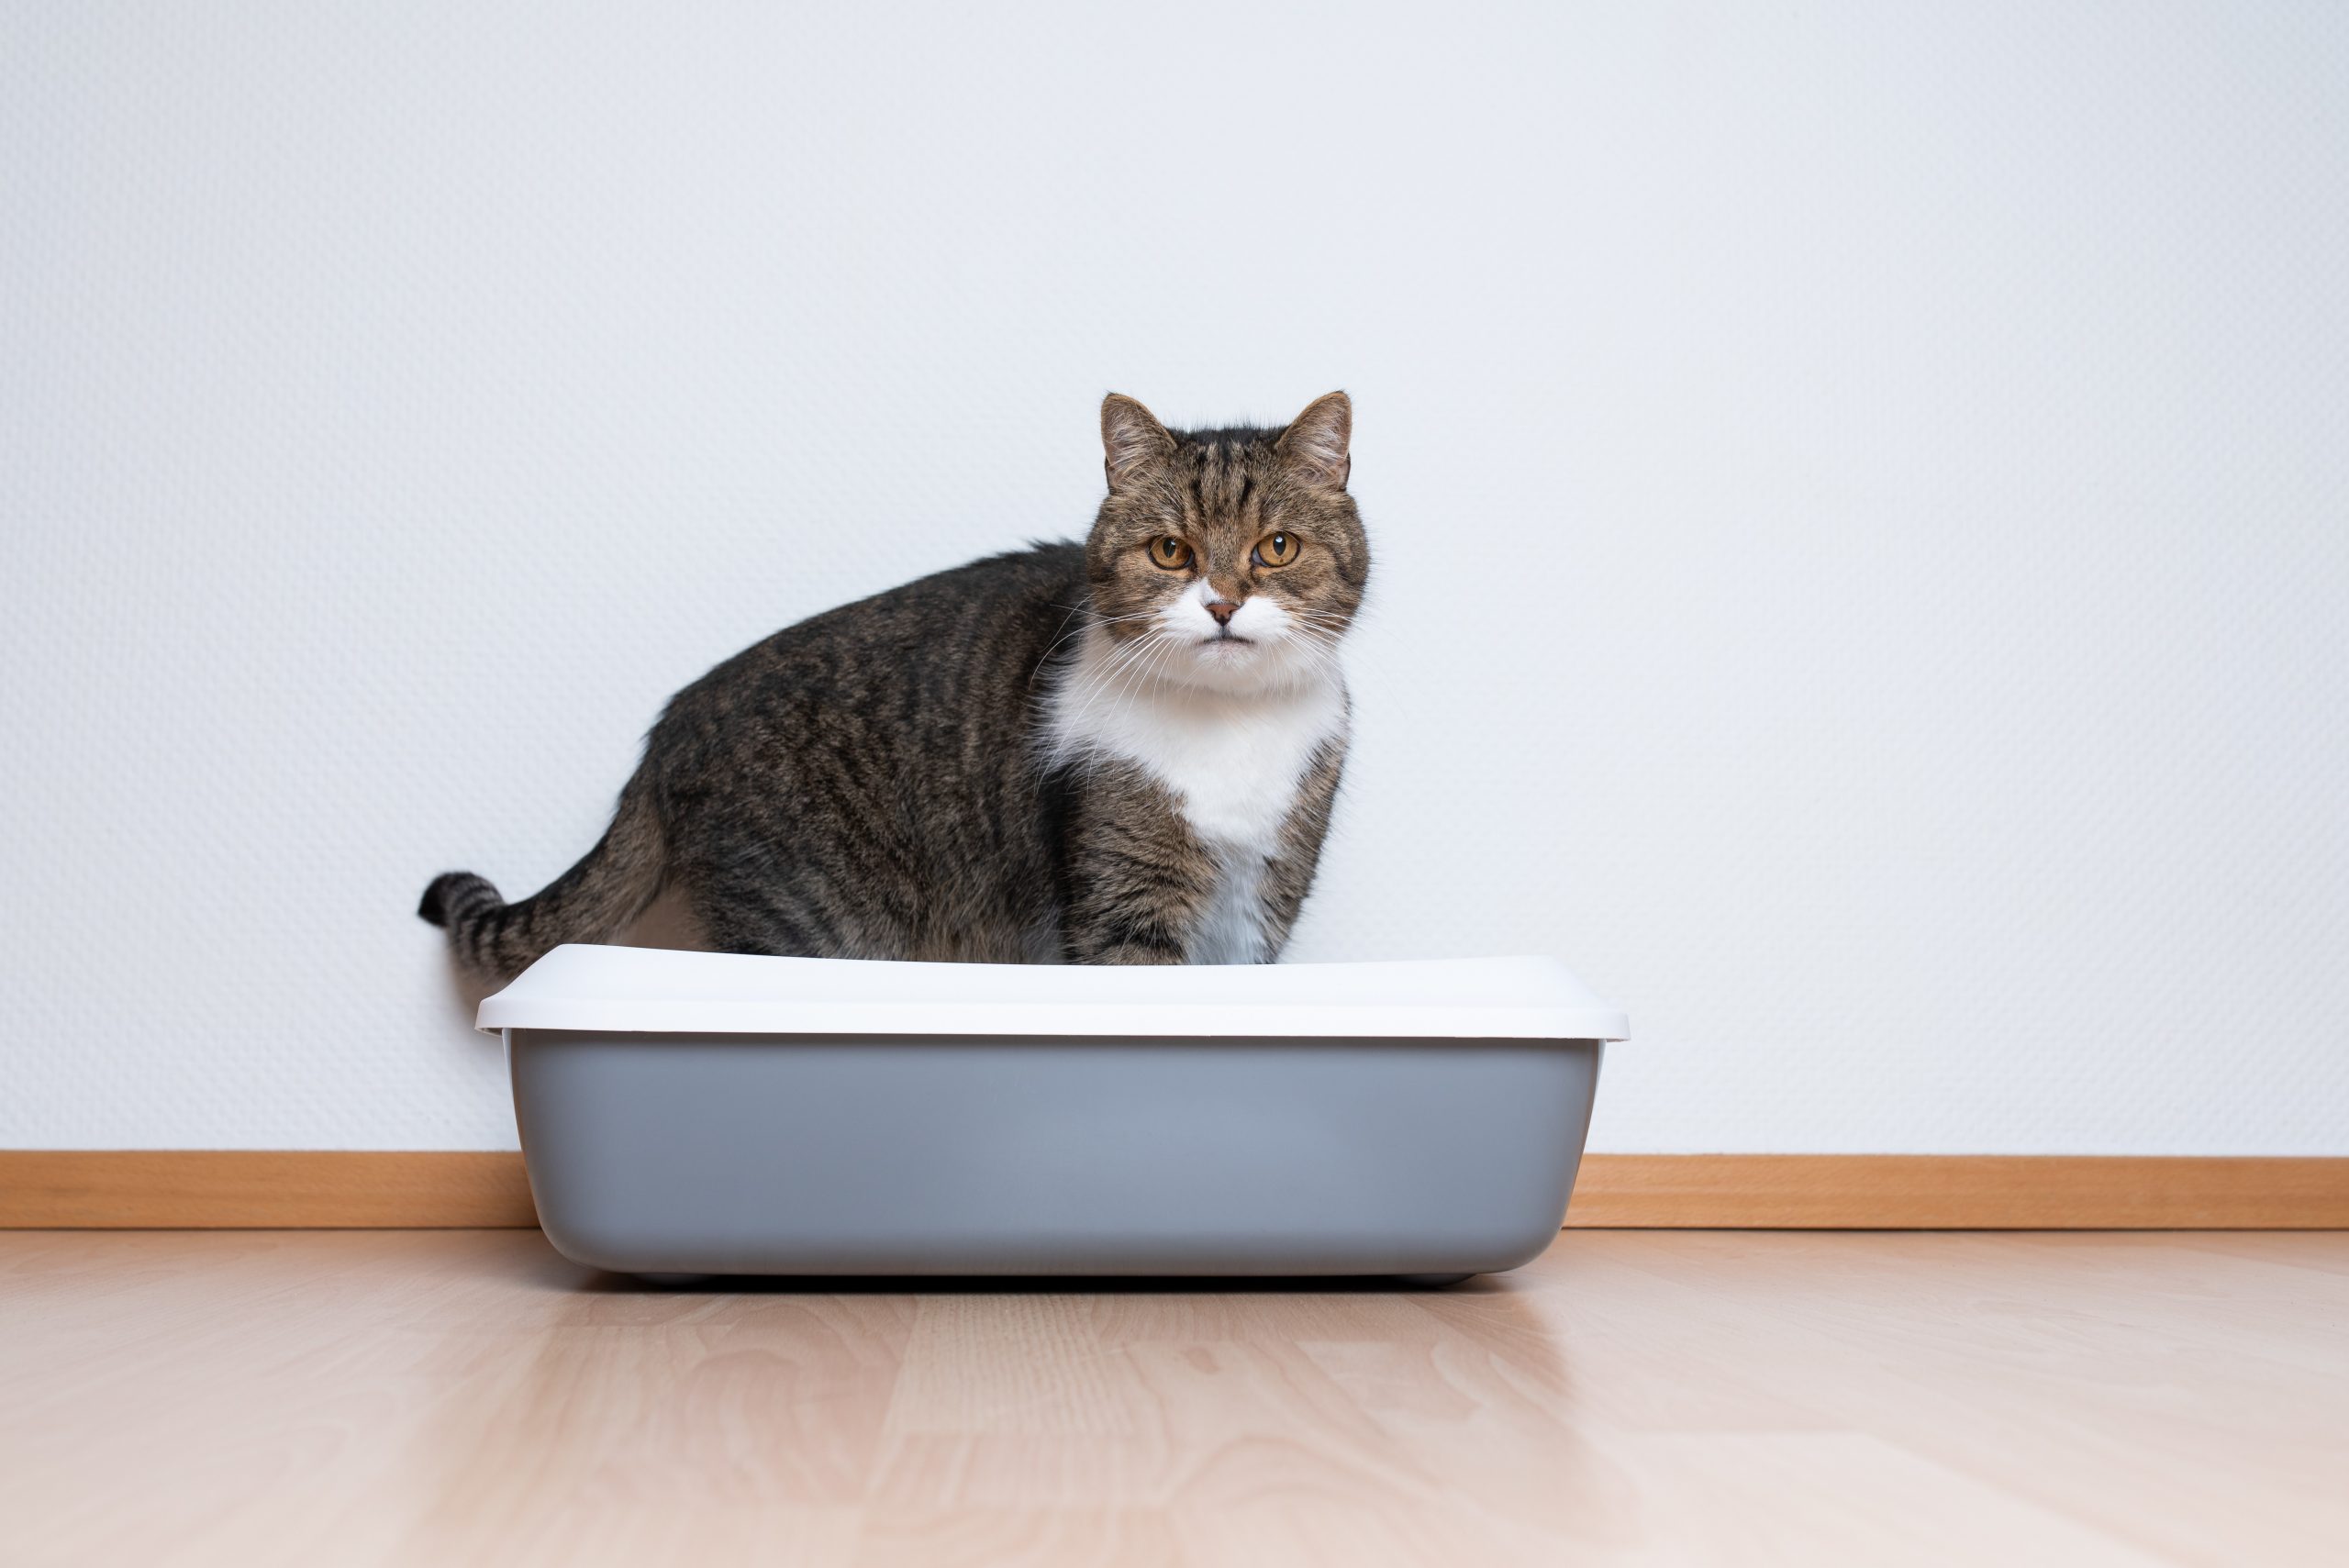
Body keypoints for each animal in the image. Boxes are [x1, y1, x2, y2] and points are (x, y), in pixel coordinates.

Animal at [420, 392, 1372, 972]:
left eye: (1276, 547)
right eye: (1171, 550)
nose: (1222, 604)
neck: (1228, 732)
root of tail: (668, 729)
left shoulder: (1263, 900)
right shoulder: (1123, 899)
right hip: (808, 921)